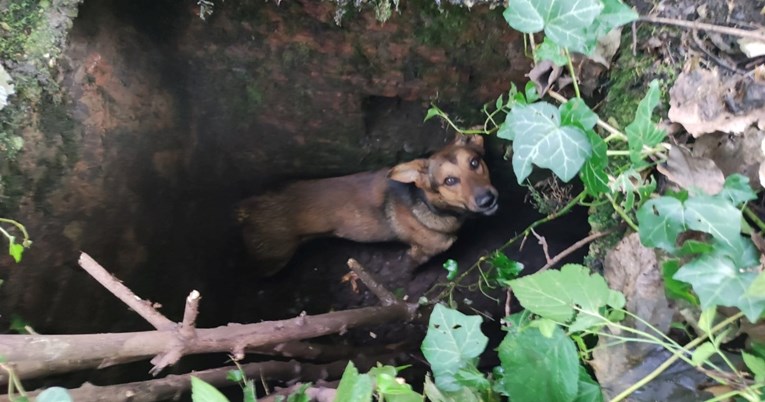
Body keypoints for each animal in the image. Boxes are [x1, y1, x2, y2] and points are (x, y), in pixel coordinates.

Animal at [240, 134, 502, 276]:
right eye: (449, 181)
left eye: (475, 162)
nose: (487, 199)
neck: (427, 204)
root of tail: (243, 209)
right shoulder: (418, 252)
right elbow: (408, 271)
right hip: (274, 258)